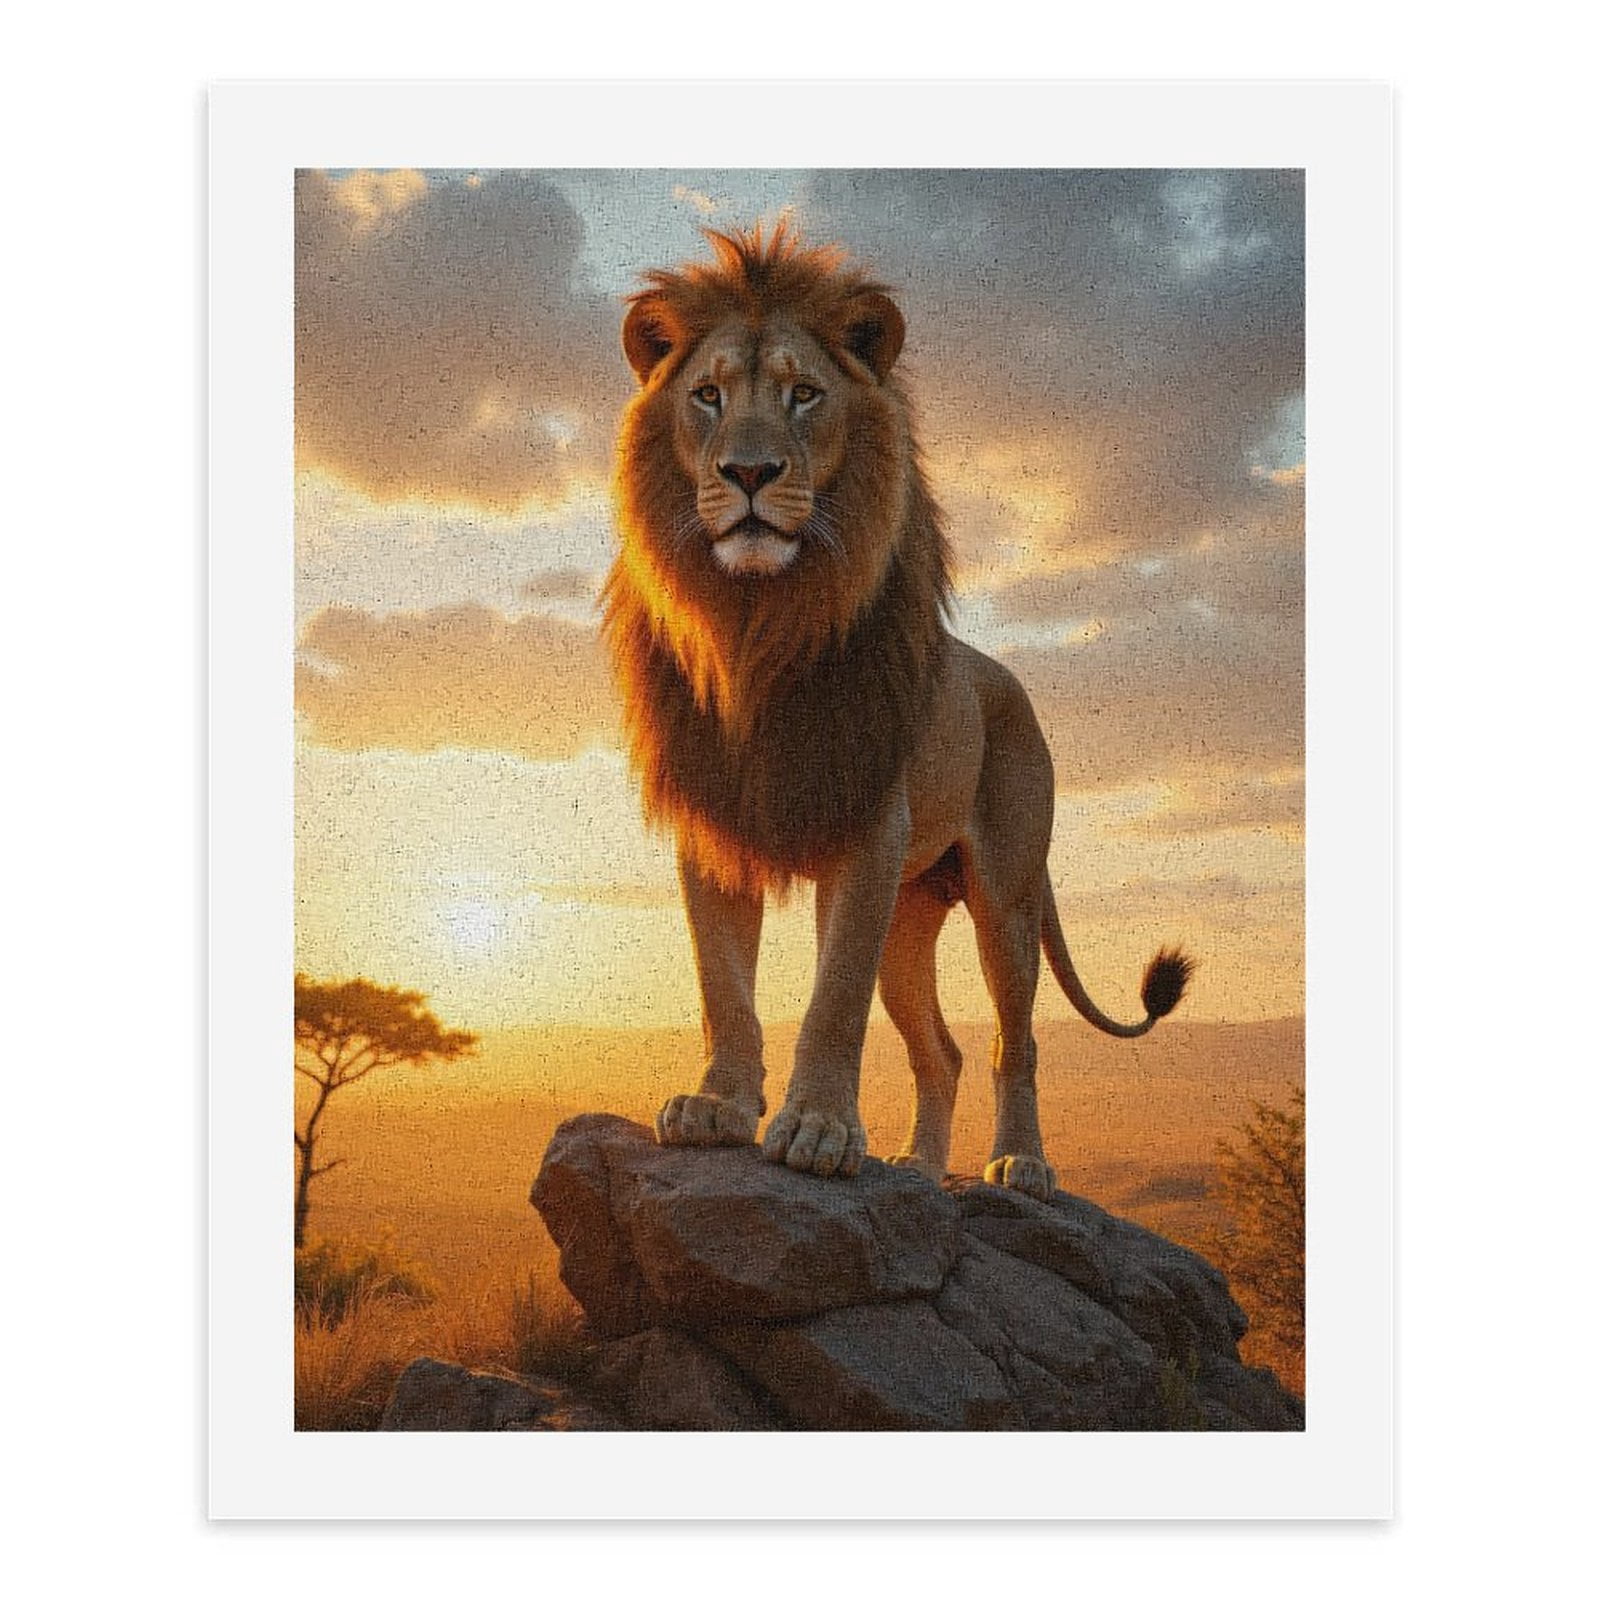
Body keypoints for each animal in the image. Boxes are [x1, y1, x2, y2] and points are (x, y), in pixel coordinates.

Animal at [602, 224, 1191, 1199]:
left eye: (804, 394)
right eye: (707, 397)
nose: (750, 472)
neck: (756, 623)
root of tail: (1006, 679)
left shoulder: (869, 830)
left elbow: (832, 999)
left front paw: (818, 1131)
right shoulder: (715, 827)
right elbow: (723, 988)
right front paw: (717, 1107)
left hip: (1004, 894)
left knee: (1012, 1043)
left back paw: (1020, 1164)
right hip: (912, 918)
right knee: (939, 1052)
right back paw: (916, 1167)